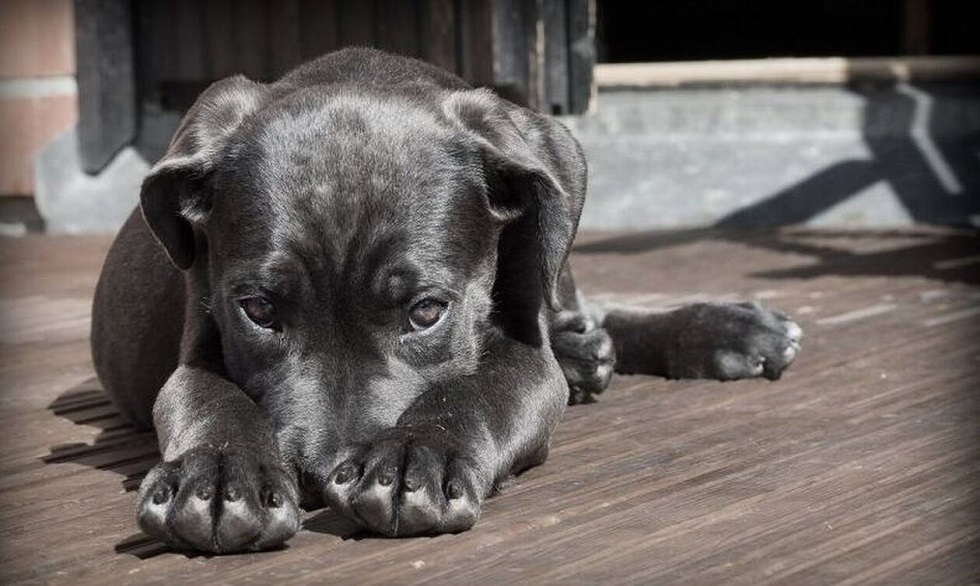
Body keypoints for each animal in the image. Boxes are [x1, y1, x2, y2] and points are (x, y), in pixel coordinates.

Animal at [88, 46, 800, 552]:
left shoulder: (523, 353)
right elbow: (208, 398)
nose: (319, 477)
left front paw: (415, 455)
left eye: (426, 311)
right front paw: (216, 475)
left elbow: (478, 389)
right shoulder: (198, 343)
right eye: (258, 311)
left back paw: (723, 330)